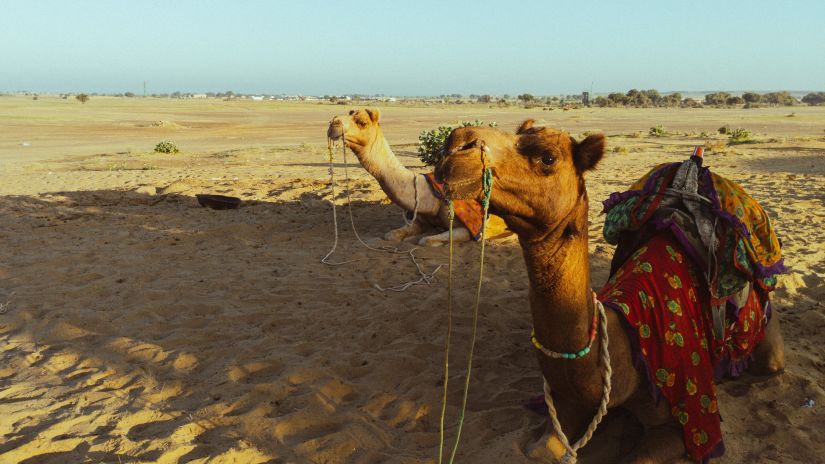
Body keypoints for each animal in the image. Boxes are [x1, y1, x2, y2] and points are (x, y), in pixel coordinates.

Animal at [326, 109, 506, 246]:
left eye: (362, 122)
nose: (333, 123)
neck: (430, 195)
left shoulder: (468, 229)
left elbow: (425, 240)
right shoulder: (419, 220)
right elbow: (390, 235)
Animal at [432, 121, 784, 462]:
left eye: (548, 157)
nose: (457, 145)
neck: (627, 340)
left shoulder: (681, 423)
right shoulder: (568, 402)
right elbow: (538, 450)